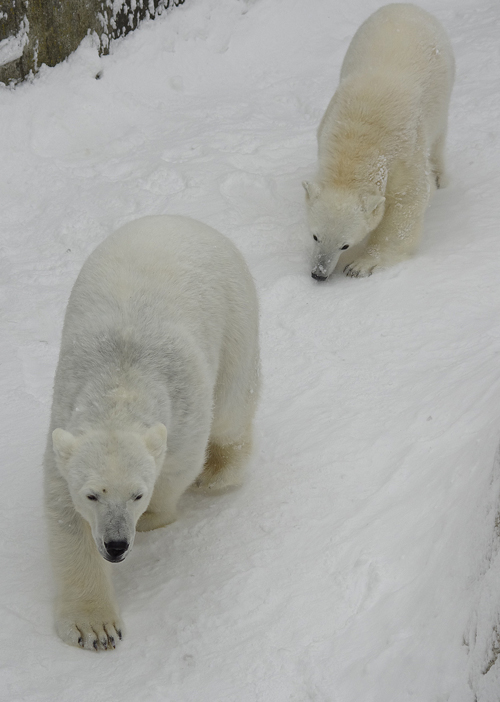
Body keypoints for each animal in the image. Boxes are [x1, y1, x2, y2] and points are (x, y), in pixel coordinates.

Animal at [43, 216, 260, 656]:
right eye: (92, 495)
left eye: (137, 494)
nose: (116, 545)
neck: (121, 381)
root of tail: (181, 218)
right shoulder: (66, 423)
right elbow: (67, 519)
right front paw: (95, 629)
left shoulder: (185, 413)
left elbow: (178, 469)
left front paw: (154, 518)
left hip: (236, 313)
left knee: (233, 403)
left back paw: (220, 471)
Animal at [302, 4, 456, 284]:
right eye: (315, 235)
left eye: (345, 244)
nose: (318, 274)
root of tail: (406, 6)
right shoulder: (327, 127)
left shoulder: (404, 152)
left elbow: (408, 200)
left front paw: (360, 265)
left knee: (440, 133)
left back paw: (440, 175)